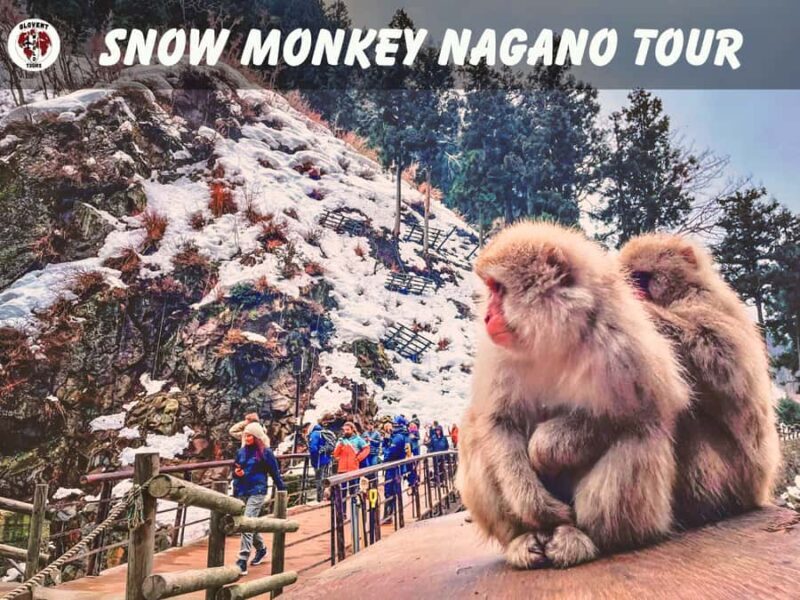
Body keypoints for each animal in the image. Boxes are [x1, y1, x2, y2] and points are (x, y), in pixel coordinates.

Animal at [457, 221, 690, 569]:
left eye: (499, 289)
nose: (486, 316)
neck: (552, 338)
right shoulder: (498, 355)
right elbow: (497, 422)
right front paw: (534, 506)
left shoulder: (622, 346)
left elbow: (637, 410)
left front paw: (544, 448)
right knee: (473, 435)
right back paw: (523, 538)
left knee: (639, 436)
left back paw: (583, 538)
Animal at [619, 233, 780, 529]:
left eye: (640, 278)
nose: (634, 293)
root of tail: (760, 491)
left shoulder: (705, 301)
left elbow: (724, 358)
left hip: (736, 476)